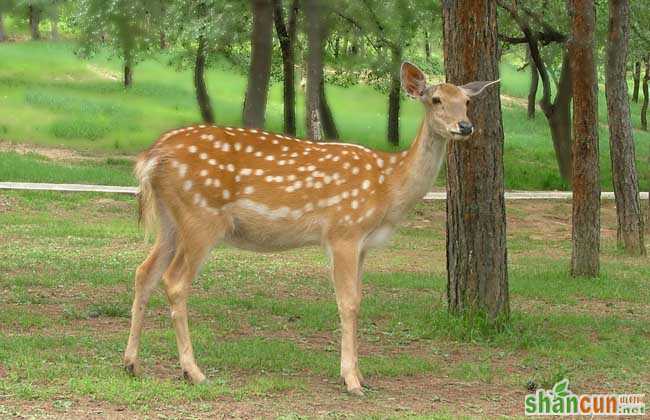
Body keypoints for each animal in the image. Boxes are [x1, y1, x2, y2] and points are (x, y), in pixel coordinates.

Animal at [124, 61, 498, 394]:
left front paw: (362, 376)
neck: (388, 187)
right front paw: (351, 381)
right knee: (174, 280)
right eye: (435, 99)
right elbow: (348, 302)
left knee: (144, 271)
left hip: (171, 221)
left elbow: (358, 299)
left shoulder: (363, 244)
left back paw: (132, 364)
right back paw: (193, 372)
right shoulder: (343, 230)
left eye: (466, 101)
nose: (465, 126)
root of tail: (151, 156)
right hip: (201, 216)